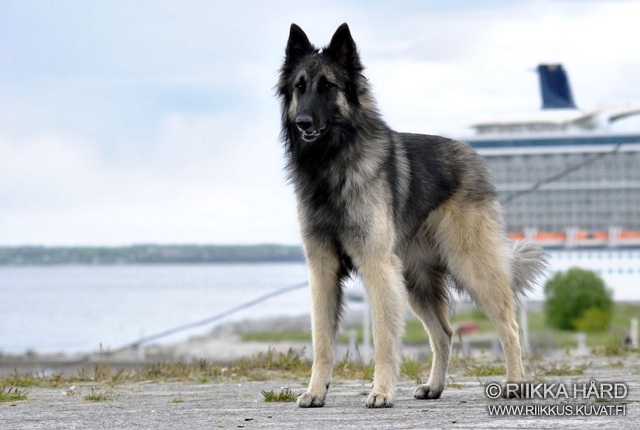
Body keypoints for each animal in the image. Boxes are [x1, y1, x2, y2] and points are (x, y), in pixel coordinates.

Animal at [276, 22, 552, 406]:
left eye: (328, 86)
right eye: (299, 87)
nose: (303, 122)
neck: (333, 162)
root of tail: (474, 155)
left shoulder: (377, 267)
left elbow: (383, 338)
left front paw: (381, 392)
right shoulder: (323, 269)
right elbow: (322, 341)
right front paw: (316, 391)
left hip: (470, 265)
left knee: (508, 325)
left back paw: (514, 383)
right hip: (416, 279)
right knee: (444, 332)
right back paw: (434, 386)